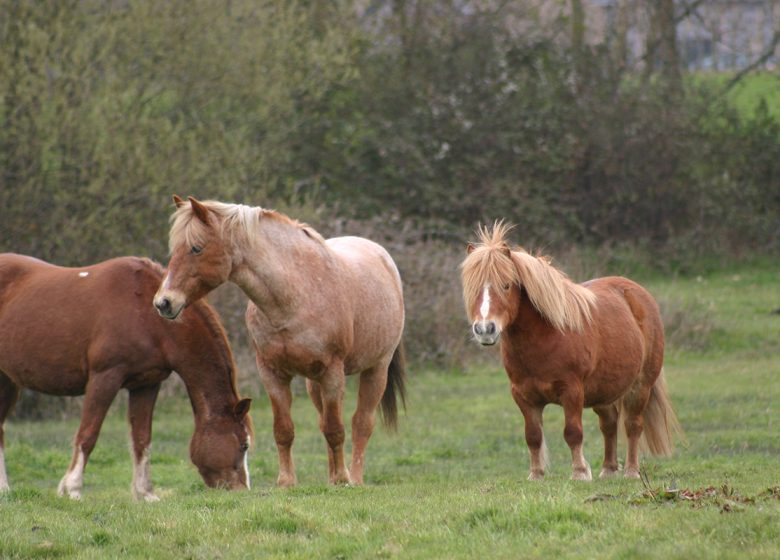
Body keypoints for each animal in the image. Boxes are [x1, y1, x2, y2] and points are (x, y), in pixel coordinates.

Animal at [0, 254, 251, 498]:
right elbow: (88, 435)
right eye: (244, 445)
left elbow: (142, 439)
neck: (146, 313)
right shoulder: (104, 378)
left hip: (8, 382)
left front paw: (145, 493)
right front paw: (72, 489)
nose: (242, 490)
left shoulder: (147, 384)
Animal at [155, 196, 406, 486]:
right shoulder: (272, 373)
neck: (294, 295)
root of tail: (381, 255)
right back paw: (333, 476)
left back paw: (353, 478)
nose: (163, 302)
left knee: (361, 424)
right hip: (314, 382)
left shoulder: (333, 373)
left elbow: (336, 429)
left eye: (196, 248)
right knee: (325, 421)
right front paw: (287, 481)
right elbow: (285, 430)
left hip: (376, 370)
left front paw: (342, 481)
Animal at [460, 223, 680, 482]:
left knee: (632, 425)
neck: (546, 338)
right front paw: (536, 474)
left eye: (506, 285)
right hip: (603, 391)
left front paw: (580, 473)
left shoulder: (572, 391)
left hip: (640, 386)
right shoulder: (523, 396)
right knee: (609, 424)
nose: (485, 329)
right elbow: (533, 436)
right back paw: (608, 469)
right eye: (472, 288)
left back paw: (631, 471)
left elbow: (573, 432)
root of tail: (638, 293)